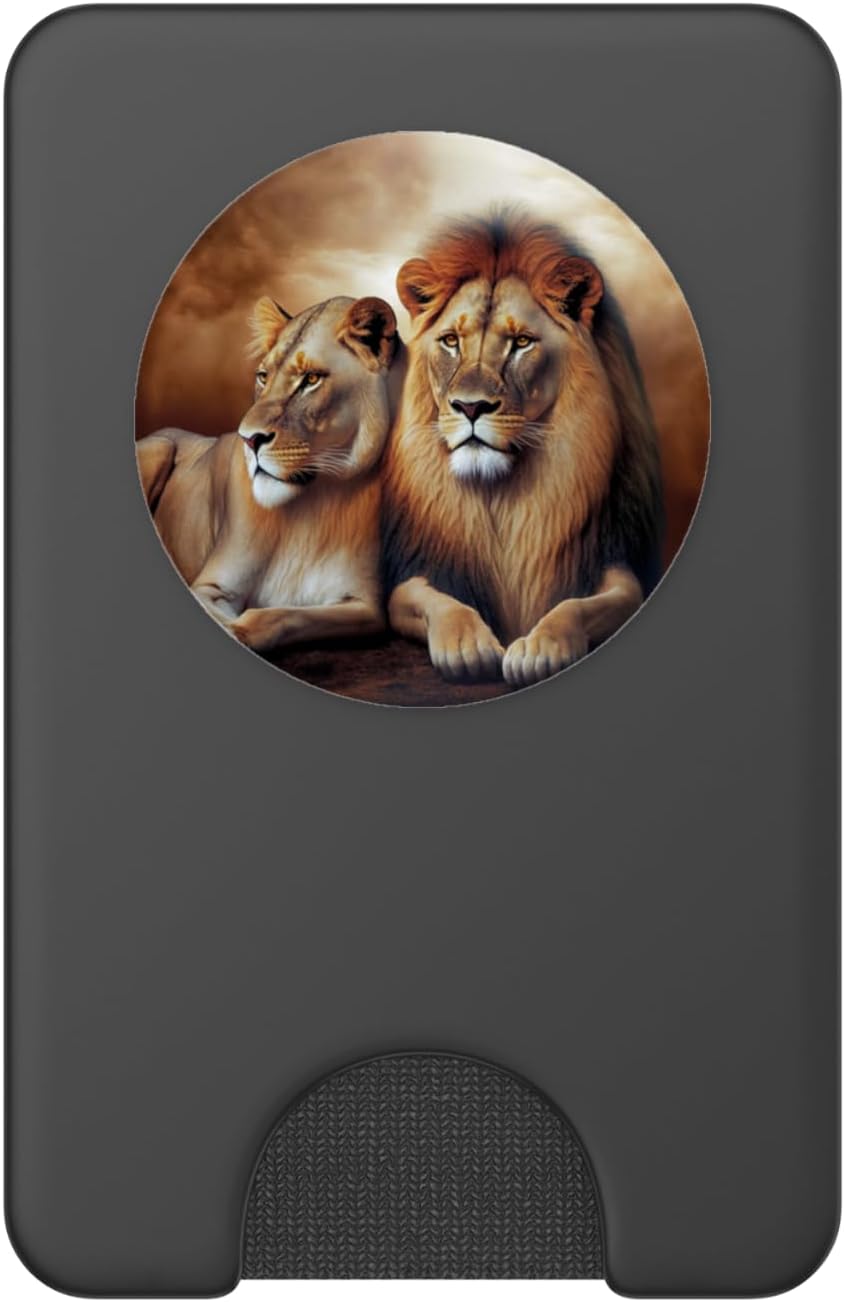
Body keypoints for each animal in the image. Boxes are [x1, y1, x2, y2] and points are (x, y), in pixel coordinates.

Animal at [138, 294, 403, 654]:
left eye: (311, 379)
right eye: (263, 376)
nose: (249, 439)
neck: (310, 504)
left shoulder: (364, 605)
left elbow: (276, 618)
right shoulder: (211, 586)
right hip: (160, 447)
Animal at [382, 213, 663, 687]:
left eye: (521, 343)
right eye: (451, 341)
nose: (470, 407)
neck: (503, 495)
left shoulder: (613, 556)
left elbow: (576, 606)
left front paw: (539, 649)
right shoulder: (415, 568)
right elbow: (440, 603)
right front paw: (467, 646)